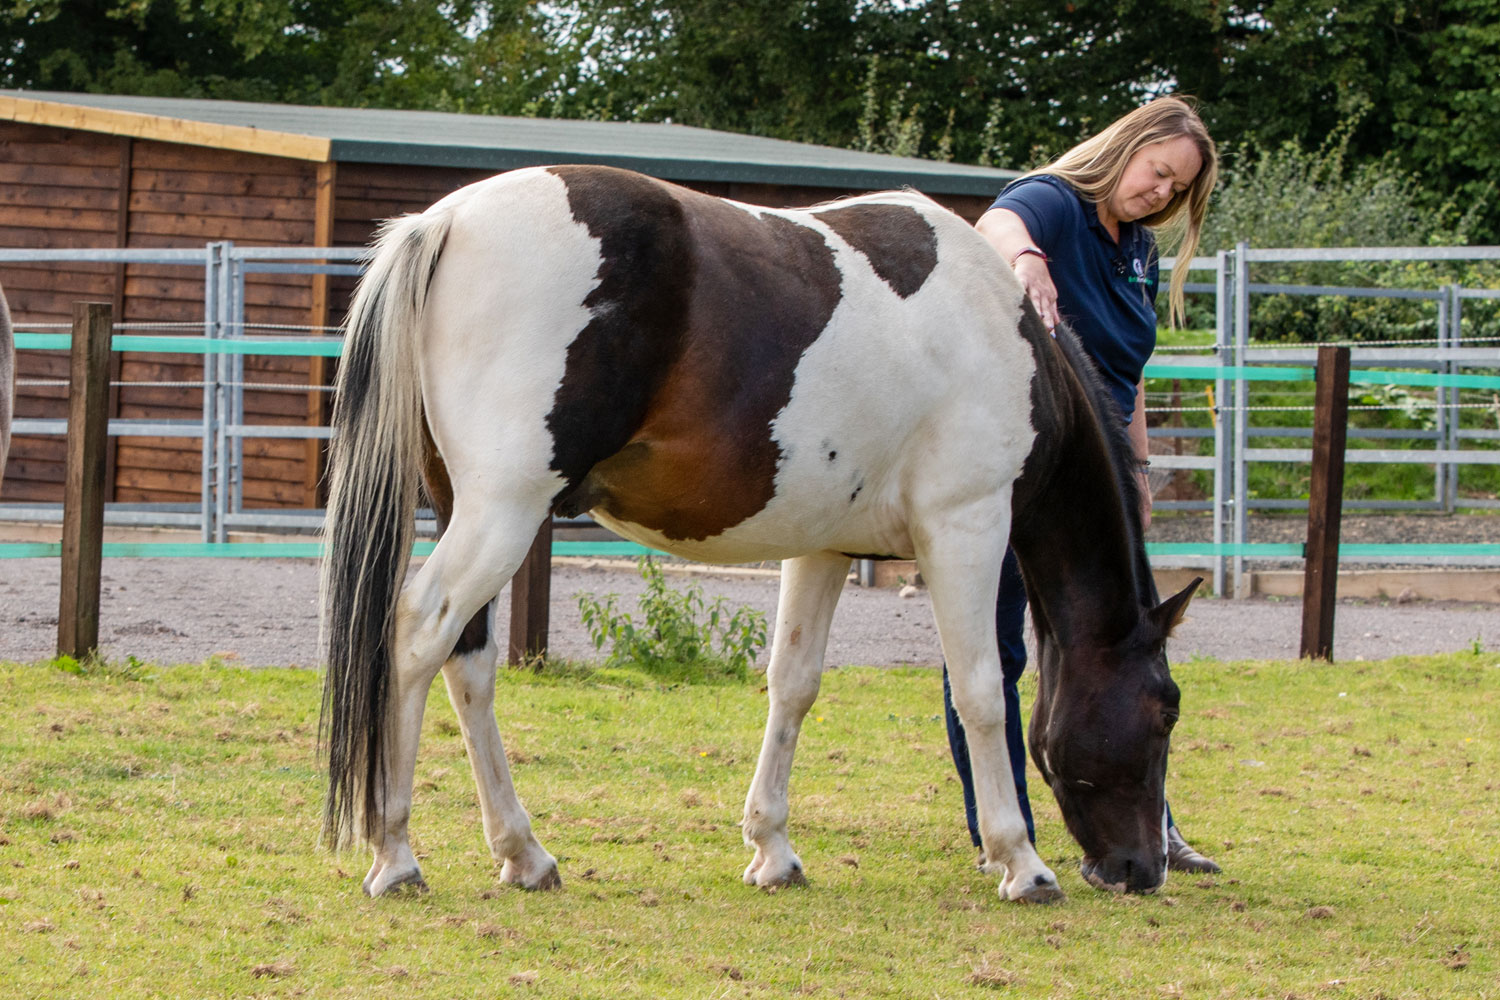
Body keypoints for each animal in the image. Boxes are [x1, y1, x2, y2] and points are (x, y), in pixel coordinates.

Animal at [322, 162, 1200, 899]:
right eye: (1166, 712)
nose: (1142, 868)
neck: (998, 334)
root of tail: (445, 220)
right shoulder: (967, 527)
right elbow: (984, 691)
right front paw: (1020, 861)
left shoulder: (825, 546)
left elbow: (793, 684)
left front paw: (772, 848)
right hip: (503, 513)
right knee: (416, 634)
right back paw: (396, 855)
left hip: (472, 511)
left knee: (468, 664)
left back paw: (523, 853)